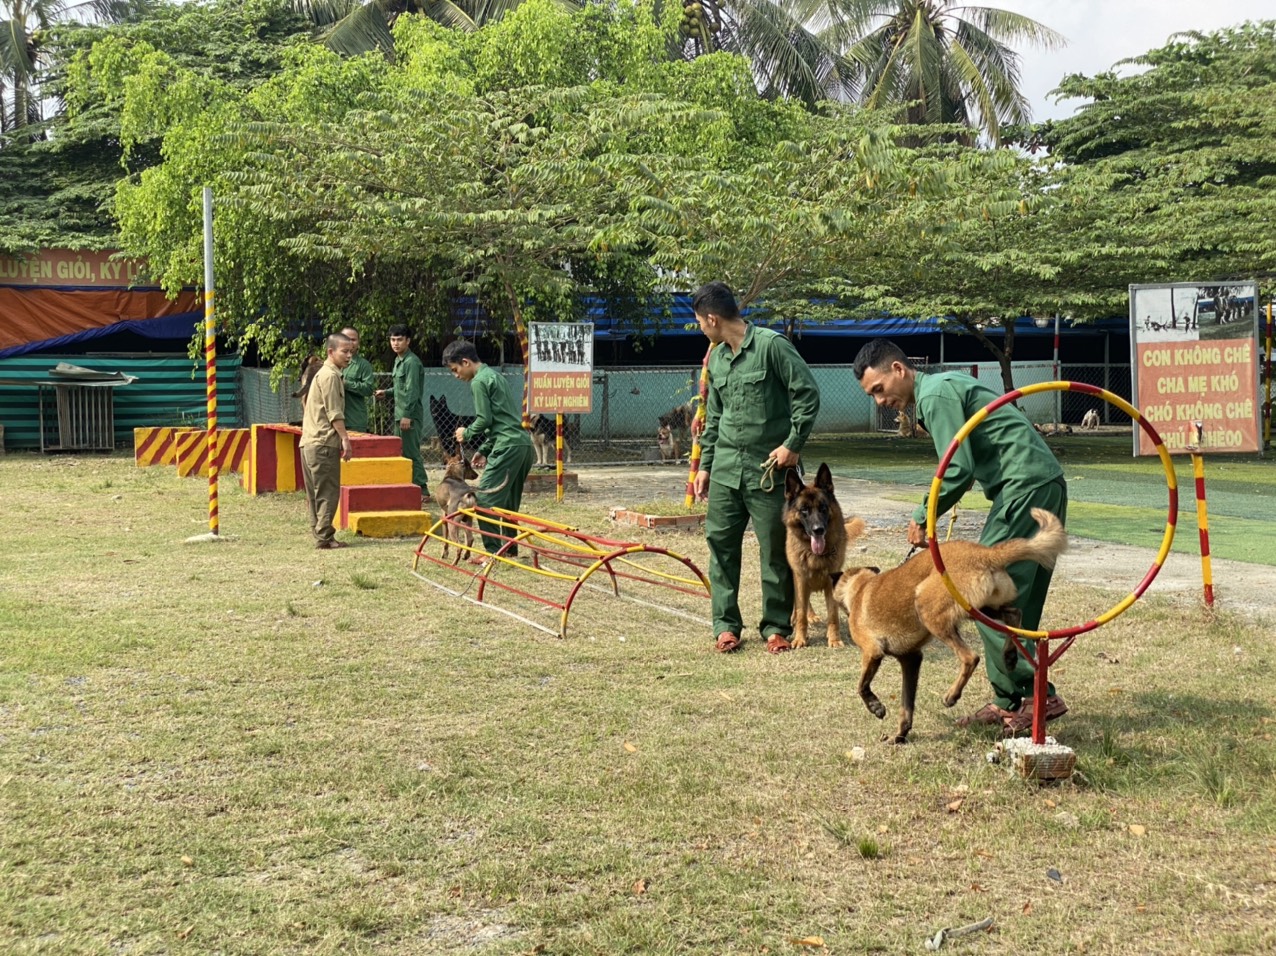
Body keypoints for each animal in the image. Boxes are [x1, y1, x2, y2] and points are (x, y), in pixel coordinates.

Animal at [780, 462, 862, 648]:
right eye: (804, 510)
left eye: (823, 508)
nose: (818, 530)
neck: (813, 554)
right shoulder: (800, 579)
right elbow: (801, 611)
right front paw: (800, 638)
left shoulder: (831, 584)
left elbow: (833, 615)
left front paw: (834, 639)